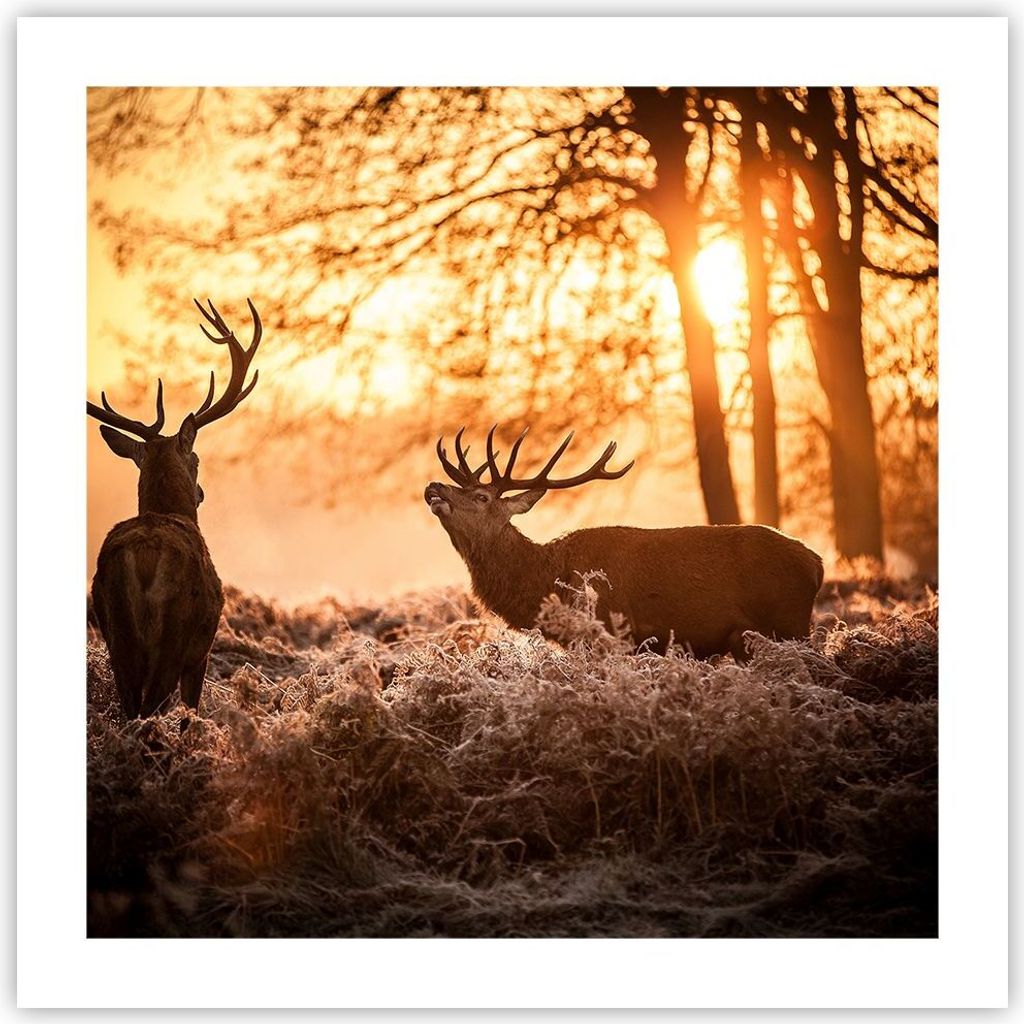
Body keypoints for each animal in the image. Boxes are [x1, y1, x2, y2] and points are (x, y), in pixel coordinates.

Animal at [88, 299, 263, 718]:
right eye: (196, 458)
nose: (200, 492)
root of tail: (144, 556)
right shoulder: (201, 652)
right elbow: (190, 714)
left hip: (117, 635)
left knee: (130, 708)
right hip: (174, 634)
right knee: (149, 709)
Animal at [425, 426, 824, 660]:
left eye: (481, 497)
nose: (434, 486)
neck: (549, 580)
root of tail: (816, 564)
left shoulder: (612, 633)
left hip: (789, 624)